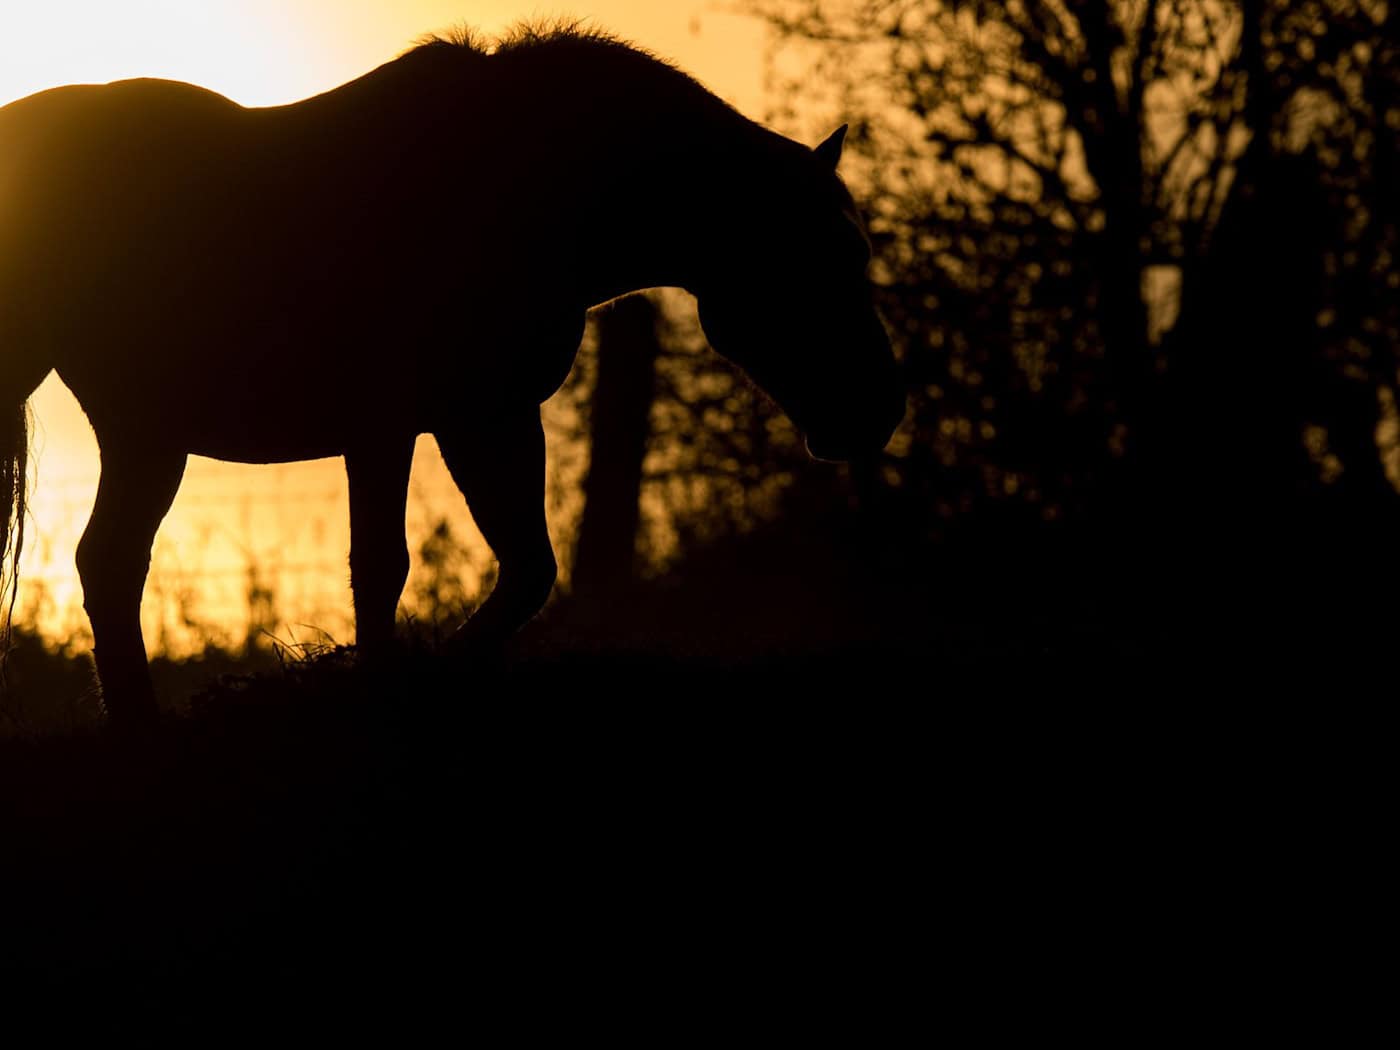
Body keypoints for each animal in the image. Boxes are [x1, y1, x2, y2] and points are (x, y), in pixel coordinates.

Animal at [0, 23, 905, 724]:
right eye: (812, 262)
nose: (879, 411)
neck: (525, 196)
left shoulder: (490, 416)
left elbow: (528, 570)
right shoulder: (386, 424)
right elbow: (381, 566)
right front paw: (378, 689)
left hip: (145, 430)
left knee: (109, 564)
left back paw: (140, 728)